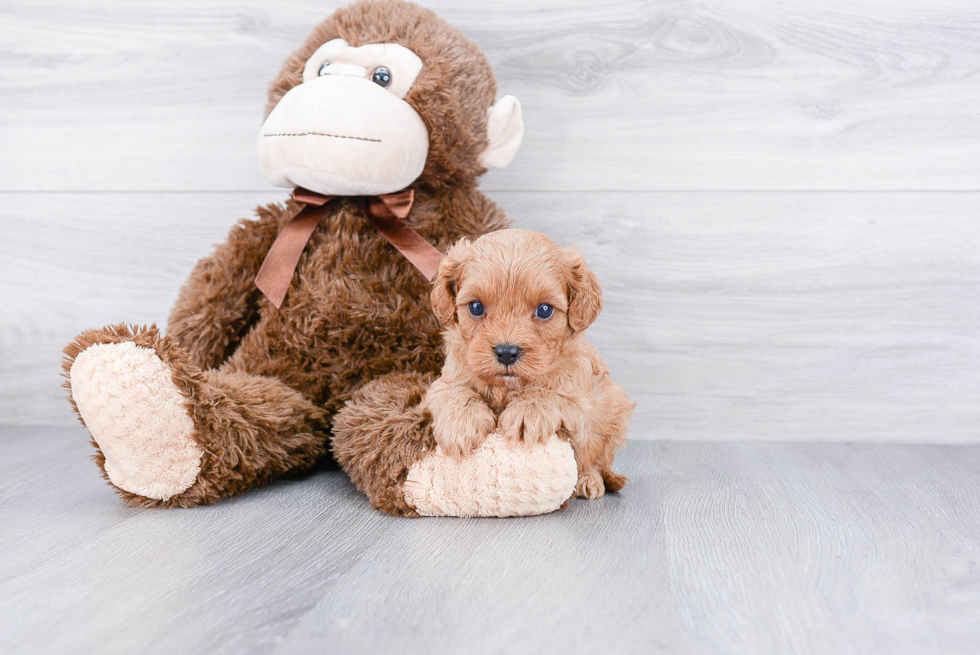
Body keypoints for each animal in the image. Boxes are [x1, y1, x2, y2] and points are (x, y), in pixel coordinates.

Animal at [424, 228, 632, 500]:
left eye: (544, 310)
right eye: (476, 307)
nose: (506, 352)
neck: (508, 387)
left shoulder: (582, 400)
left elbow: (554, 393)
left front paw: (528, 410)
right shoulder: (445, 381)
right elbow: (454, 391)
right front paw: (461, 422)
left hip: (613, 409)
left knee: (596, 460)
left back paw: (589, 480)